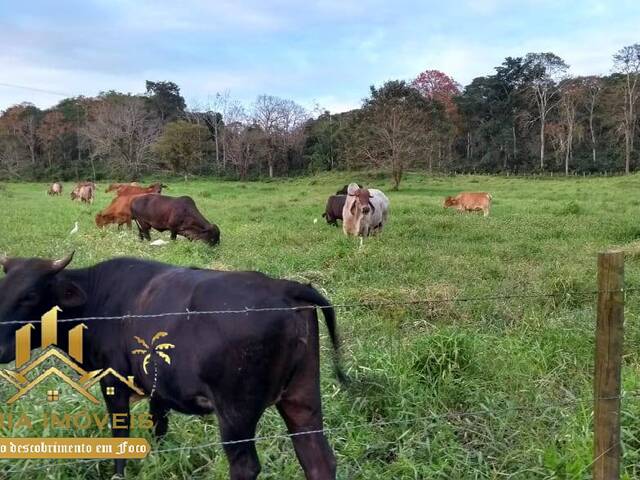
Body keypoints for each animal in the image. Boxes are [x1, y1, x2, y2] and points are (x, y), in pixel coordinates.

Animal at [0, 253, 348, 478]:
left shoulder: (113, 382)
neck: (98, 301)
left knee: (246, 467)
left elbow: (120, 436)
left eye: (31, 295)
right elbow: (158, 431)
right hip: (302, 396)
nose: (1, 347)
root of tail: (284, 287)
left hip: (236, 411)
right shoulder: (159, 390)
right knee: (318, 459)